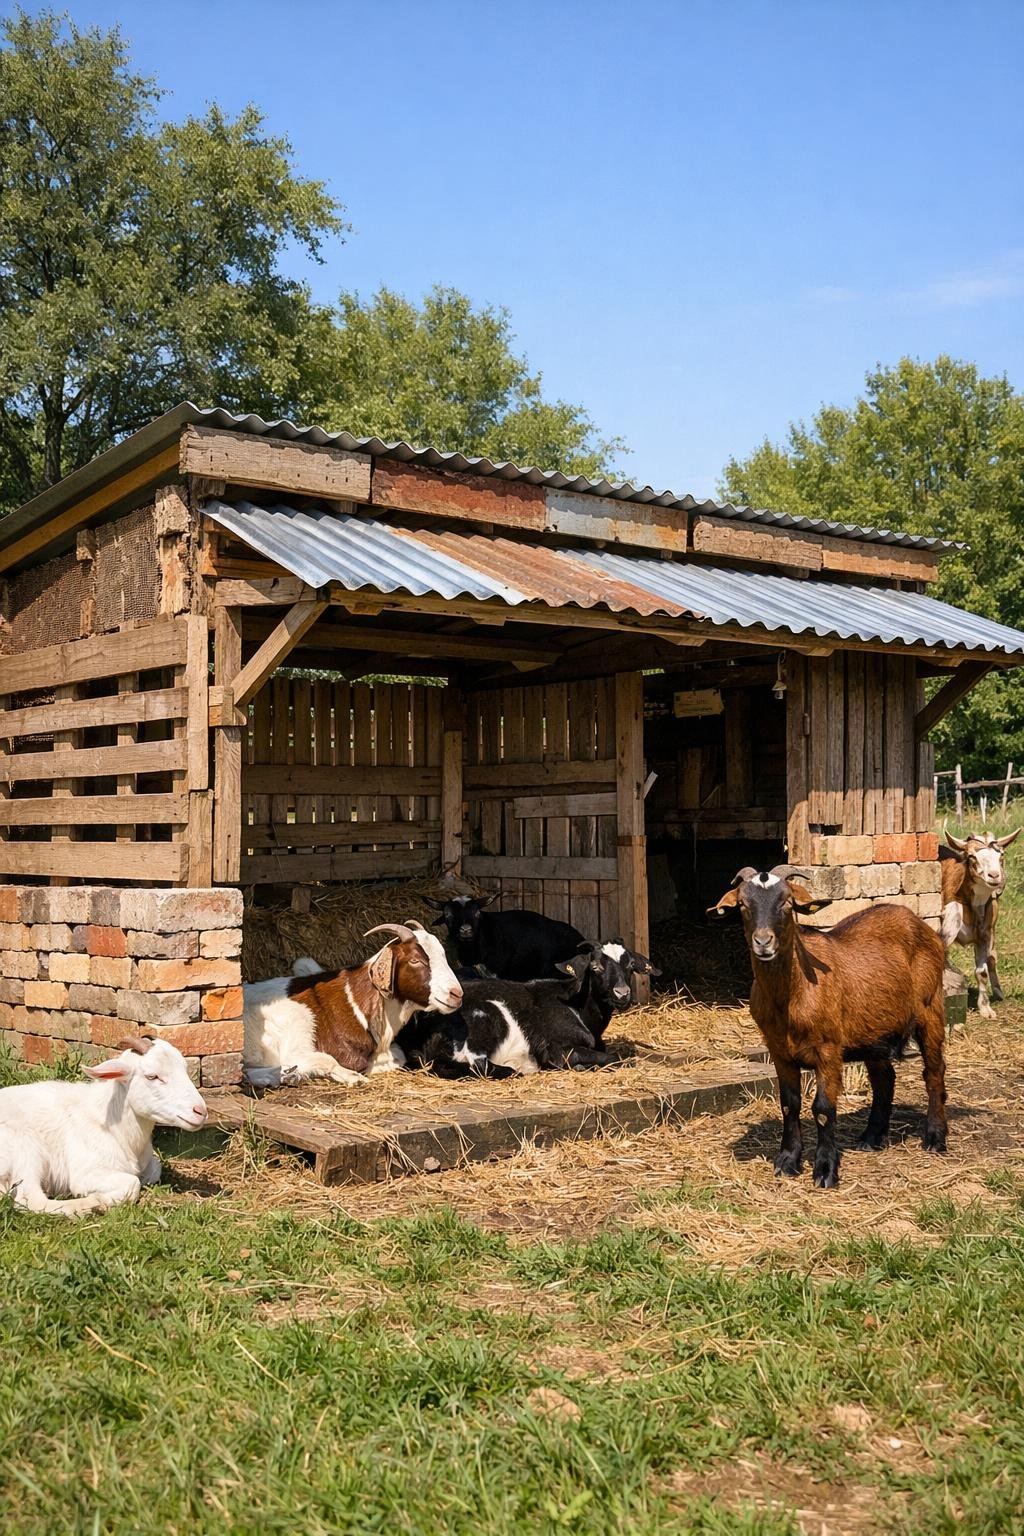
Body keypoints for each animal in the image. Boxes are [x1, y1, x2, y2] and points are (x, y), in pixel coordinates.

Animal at [0, 1037, 207, 1218]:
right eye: (152, 1076)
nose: (201, 1111)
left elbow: (154, 1170)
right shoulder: (86, 1171)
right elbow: (132, 1183)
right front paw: (98, 1197)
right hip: (25, 1149)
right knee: (30, 1199)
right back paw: (90, 1205)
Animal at [243, 920, 462, 1087]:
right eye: (415, 960)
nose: (456, 994)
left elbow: (399, 1056)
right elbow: (341, 1060)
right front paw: (354, 1075)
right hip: (297, 1017)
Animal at [710, 865, 947, 1189]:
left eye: (787, 903)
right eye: (743, 904)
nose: (763, 942)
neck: (792, 995)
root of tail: (918, 923)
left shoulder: (828, 1050)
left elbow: (823, 1109)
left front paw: (825, 1170)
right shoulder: (778, 1051)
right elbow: (789, 1105)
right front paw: (787, 1162)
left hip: (931, 1008)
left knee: (933, 1072)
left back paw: (935, 1137)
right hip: (873, 1031)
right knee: (884, 1078)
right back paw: (872, 1137)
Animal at [940, 827, 1020, 1018]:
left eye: (1001, 855)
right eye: (971, 856)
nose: (995, 876)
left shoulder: (985, 933)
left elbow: (982, 971)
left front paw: (986, 1009)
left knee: (992, 957)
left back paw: (998, 992)